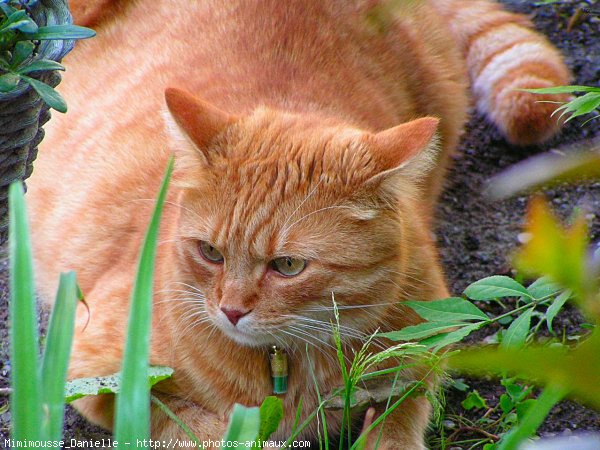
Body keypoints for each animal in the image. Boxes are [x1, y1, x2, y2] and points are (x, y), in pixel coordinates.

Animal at [27, 1, 568, 448]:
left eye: (288, 266)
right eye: (210, 253)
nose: (230, 311)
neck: (287, 365)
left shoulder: (419, 366)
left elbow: (396, 425)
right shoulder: (94, 374)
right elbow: (202, 429)